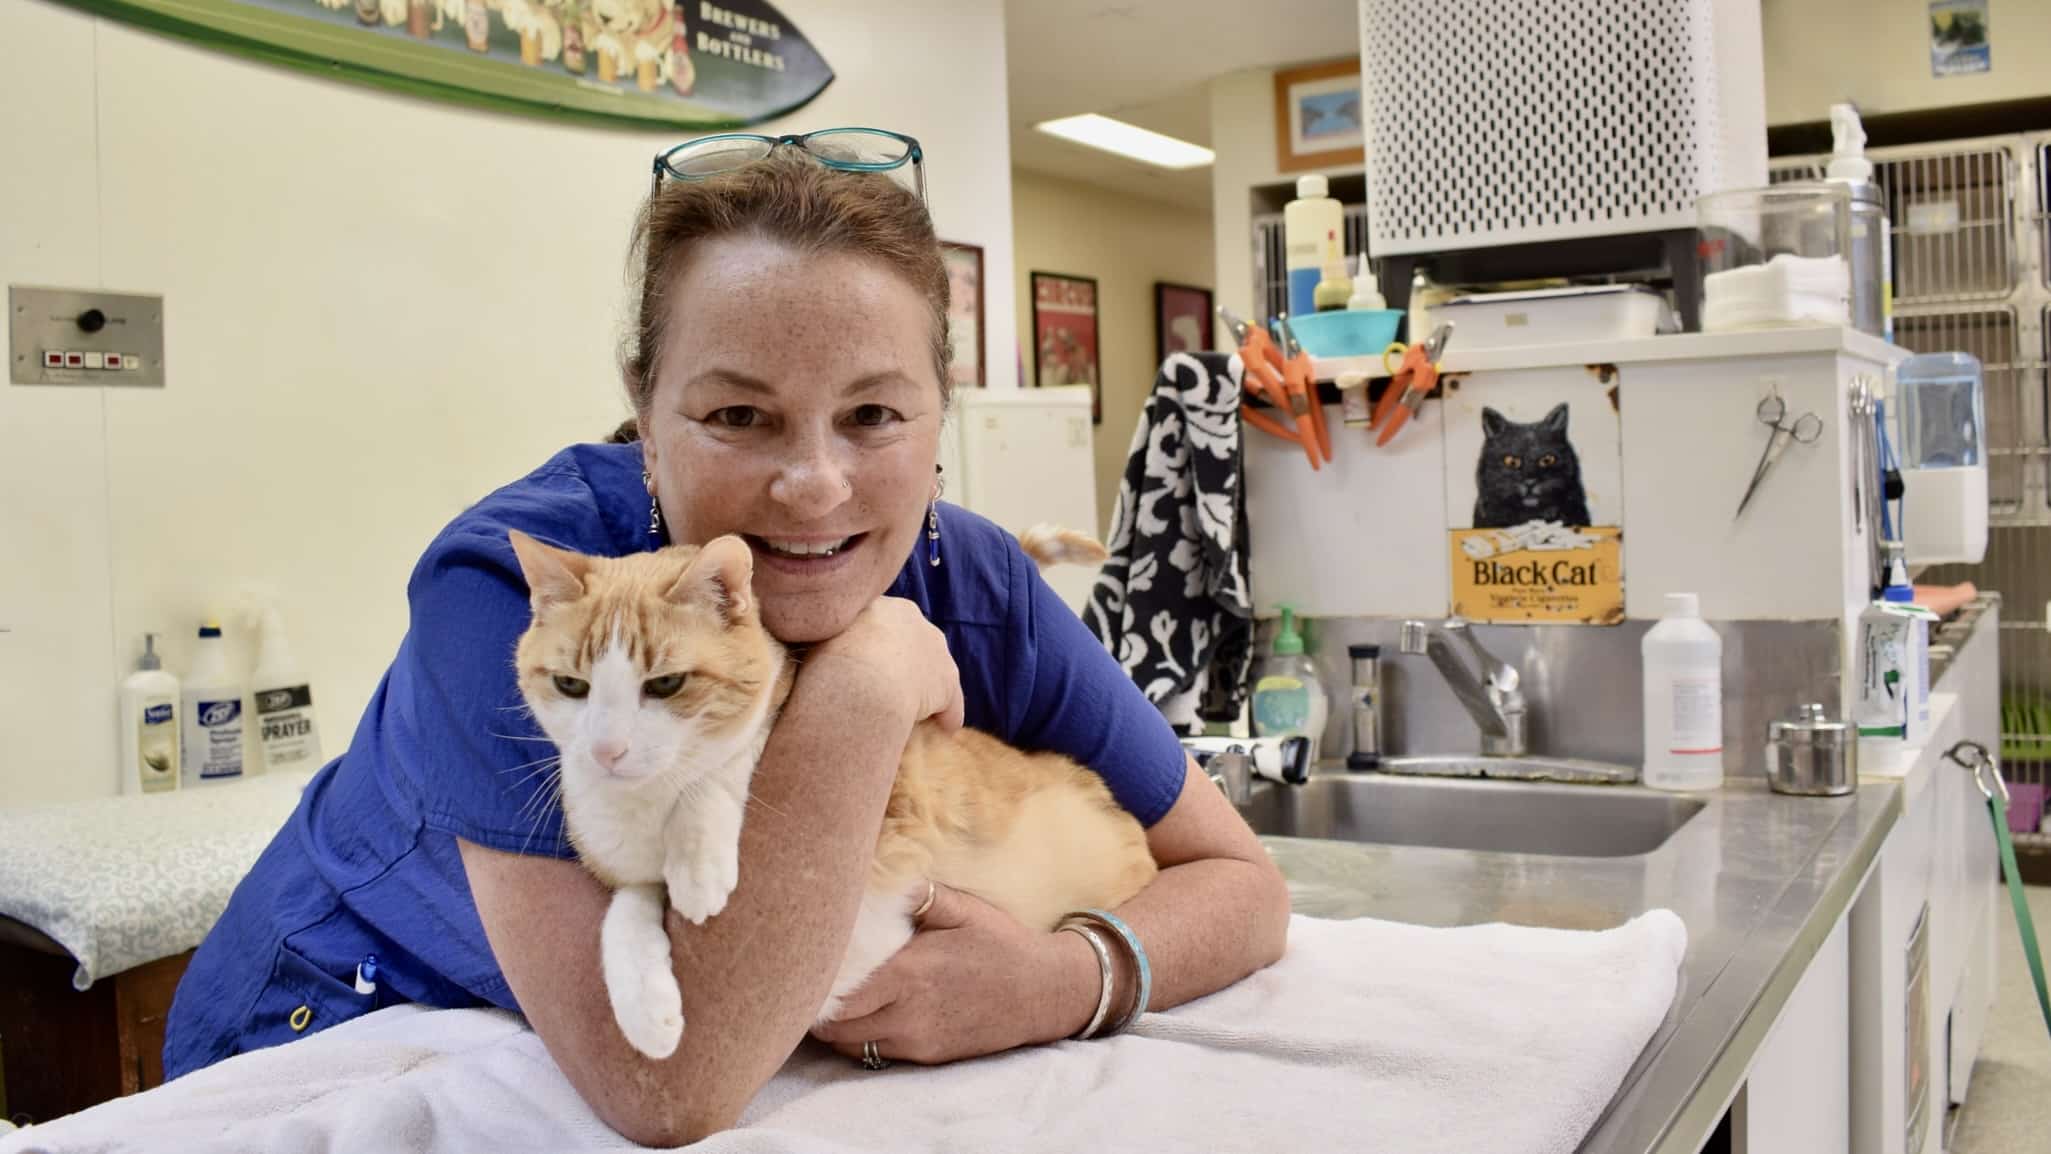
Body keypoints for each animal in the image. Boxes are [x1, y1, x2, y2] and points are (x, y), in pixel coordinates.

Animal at [508, 528, 1156, 1057]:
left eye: (665, 684)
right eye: (571, 685)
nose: (605, 751)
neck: (645, 804)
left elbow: (733, 759)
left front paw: (698, 862)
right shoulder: (622, 866)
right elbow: (624, 911)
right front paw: (648, 1012)